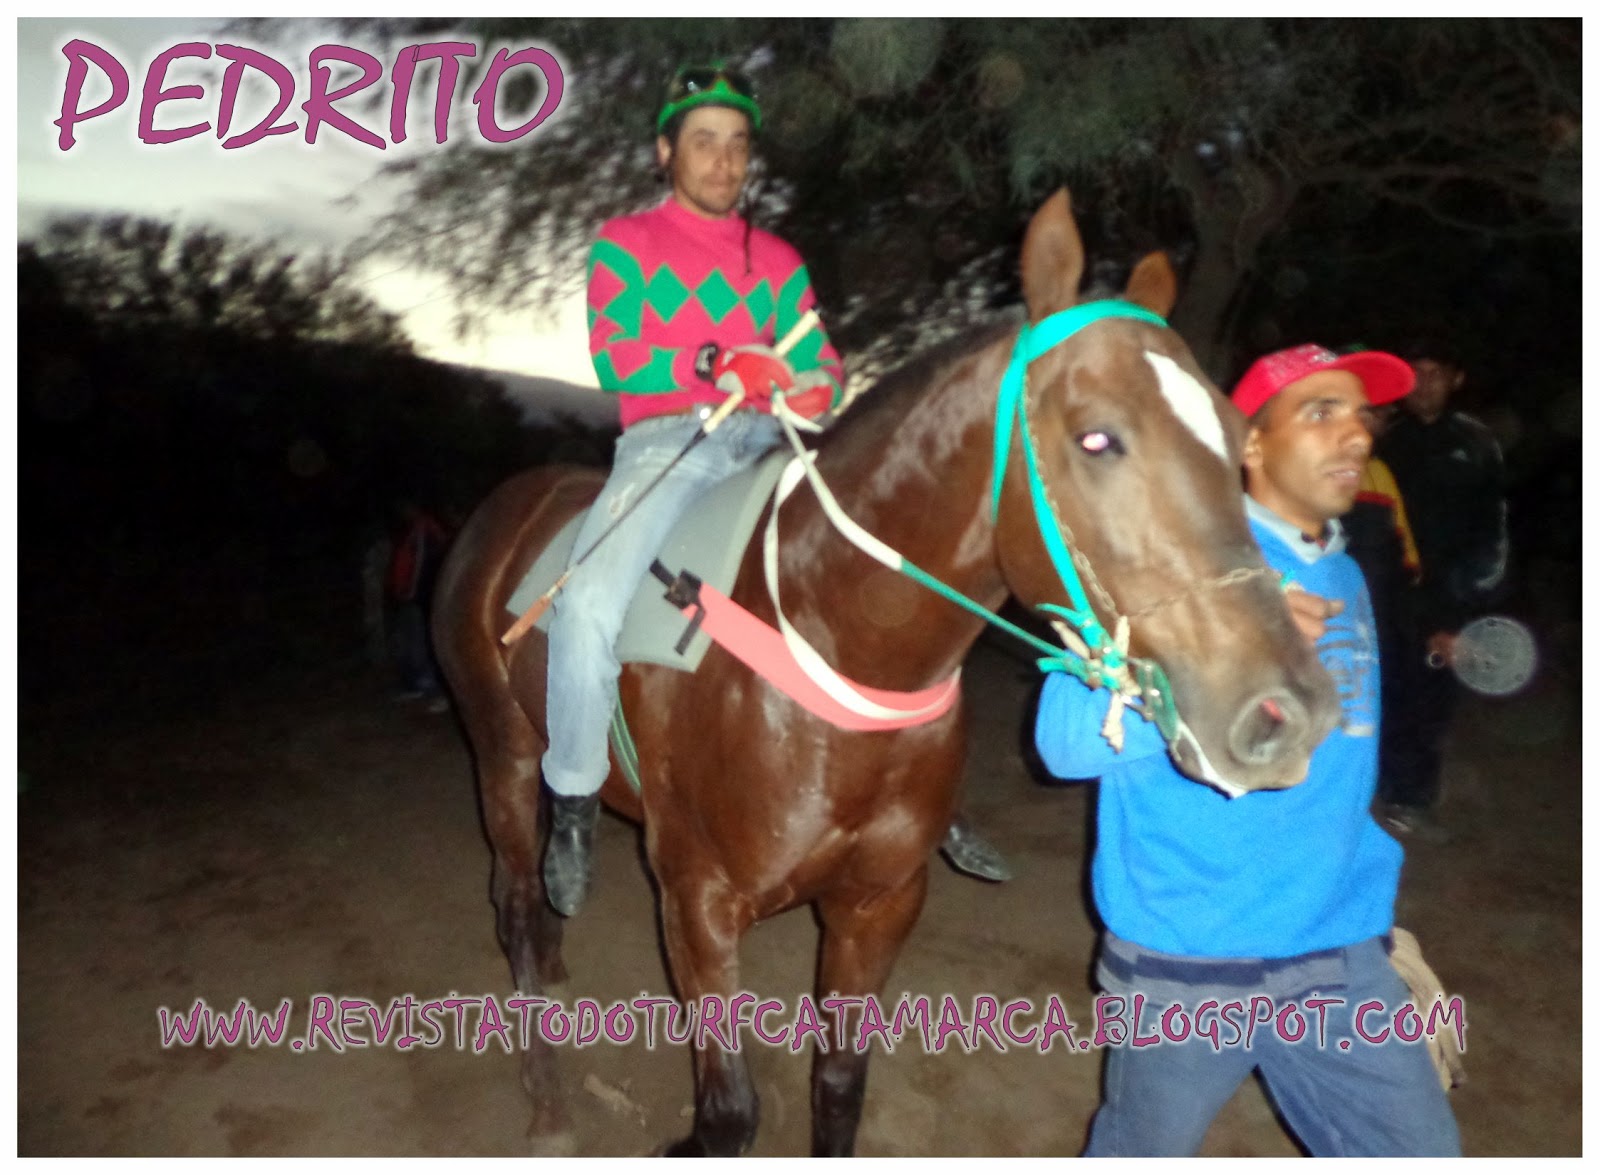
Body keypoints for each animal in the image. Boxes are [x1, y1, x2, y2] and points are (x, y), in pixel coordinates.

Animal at [431, 189, 1341, 1156]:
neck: (832, 646)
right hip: (501, 751)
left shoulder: (879, 904)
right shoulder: (697, 900)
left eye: (1237, 436)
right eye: (1098, 438)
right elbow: (729, 1111)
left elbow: (838, 1087)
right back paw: (545, 1090)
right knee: (515, 896)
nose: (1288, 710)